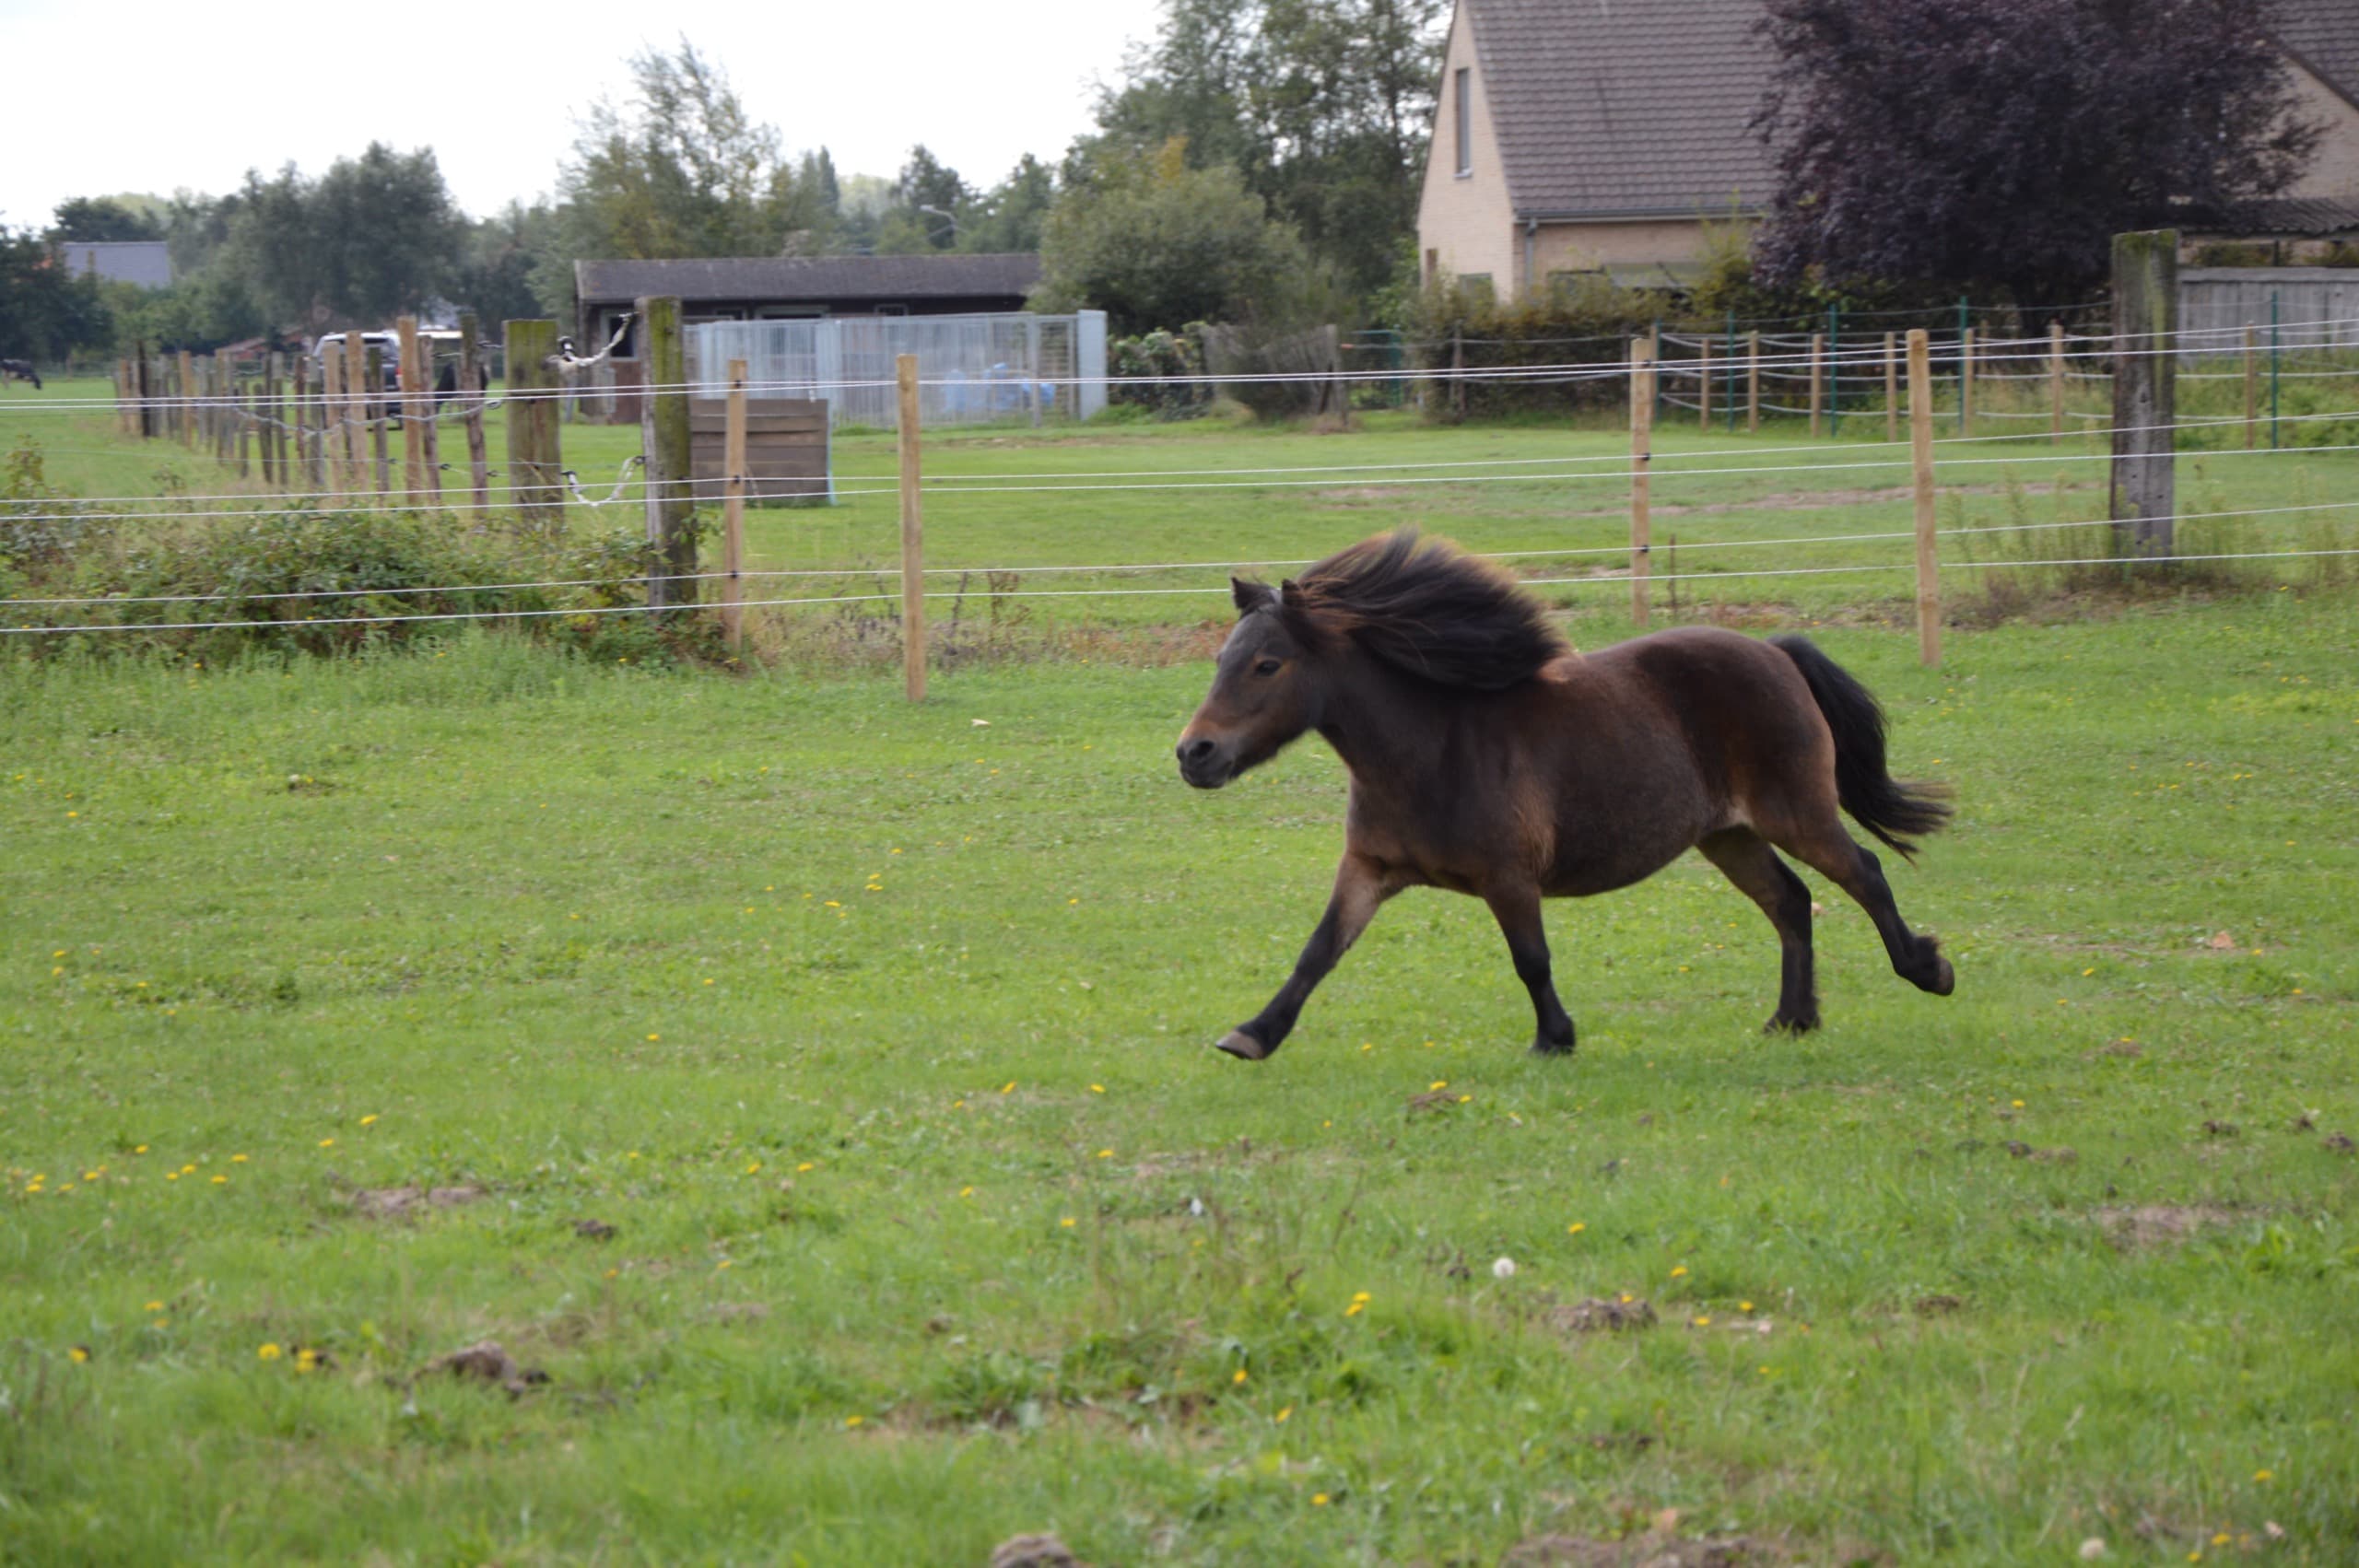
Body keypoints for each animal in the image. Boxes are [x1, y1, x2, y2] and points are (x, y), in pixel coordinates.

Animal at [1175, 528, 1954, 1060]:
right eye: (1221, 659)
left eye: (1267, 664)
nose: (1193, 754)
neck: (1430, 752)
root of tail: (1774, 651)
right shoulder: (1369, 870)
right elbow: (1318, 951)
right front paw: (1254, 1033)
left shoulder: (1509, 878)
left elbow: (1532, 959)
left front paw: (1555, 1038)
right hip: (1728, 835)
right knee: (1790, 901)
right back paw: (1792, 1019)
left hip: (1795, 814)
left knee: (1863, 873)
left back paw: (1927, 970)